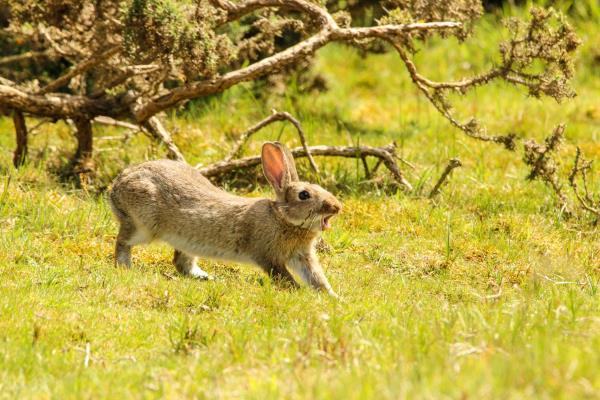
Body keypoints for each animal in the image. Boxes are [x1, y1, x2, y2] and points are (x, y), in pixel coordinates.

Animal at [108, 142, 342, 296]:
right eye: (304, 195)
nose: (337, 207)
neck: (282, 218)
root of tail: (118, 184)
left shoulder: (303, 256)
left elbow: (316, 277)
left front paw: (332, 296)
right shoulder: (268, 255)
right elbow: (283, 276)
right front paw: (297, 291)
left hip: (186, 241)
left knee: (181, 262)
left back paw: (207, 277)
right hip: (144, 225)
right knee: (122, 241)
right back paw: (125, 266)